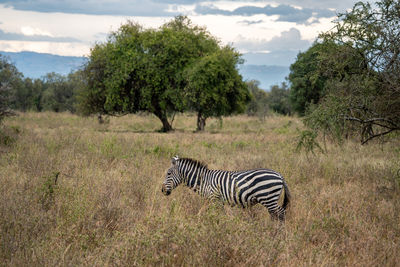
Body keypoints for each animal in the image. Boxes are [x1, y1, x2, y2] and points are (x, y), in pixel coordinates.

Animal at [162, 156, 290, 221]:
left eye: (168, 173)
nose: (162, 191)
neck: (204, 181)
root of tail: (280, 175)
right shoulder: (211, 200)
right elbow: (201, 212)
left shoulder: (215, 199)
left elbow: (221, 215)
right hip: (270, 200)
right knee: (276, 214)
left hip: (268, 198)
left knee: (281, 213)